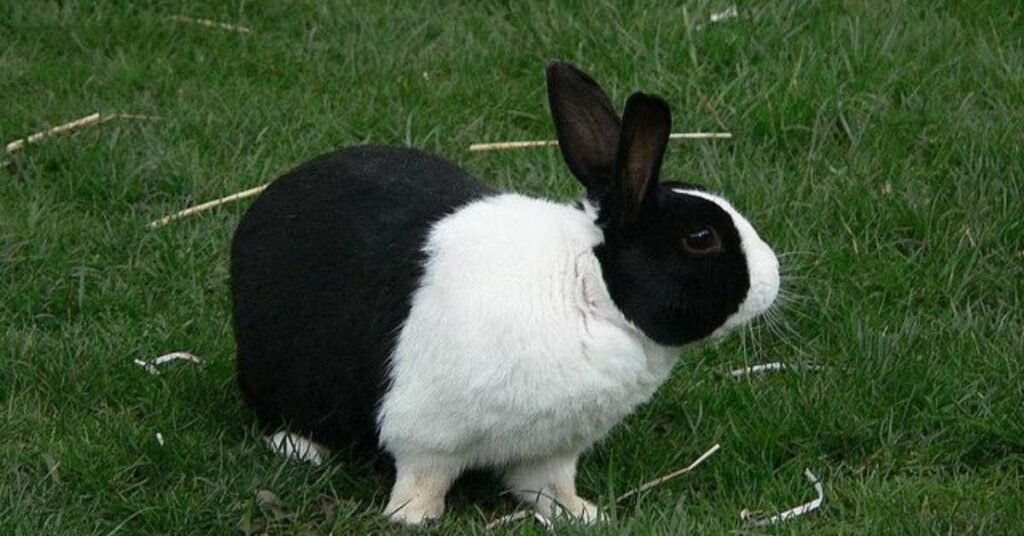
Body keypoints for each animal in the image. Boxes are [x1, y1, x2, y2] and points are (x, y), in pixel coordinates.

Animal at [230, 61, 780, 525]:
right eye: (700, 238)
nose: (773, 276)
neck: (587, 291)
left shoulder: (549, 449)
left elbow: (549, 487)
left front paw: (583, 514)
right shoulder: (425, 439)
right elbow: (422, 479)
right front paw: (413, 519)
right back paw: (302, 448)